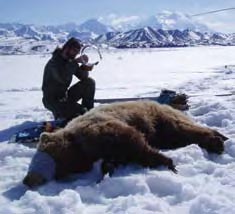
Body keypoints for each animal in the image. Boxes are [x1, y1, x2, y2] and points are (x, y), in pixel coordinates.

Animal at [23, 100, 227, 187]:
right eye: (34, 162)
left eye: (40, 159)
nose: (29, 179)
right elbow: (116, 157)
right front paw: (107, 169)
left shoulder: (101, 130)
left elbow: (133, 142)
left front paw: (168, 163)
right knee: (179, 136)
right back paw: (218, 139)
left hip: (159, 117)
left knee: (181, 129)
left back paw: (218, 140)